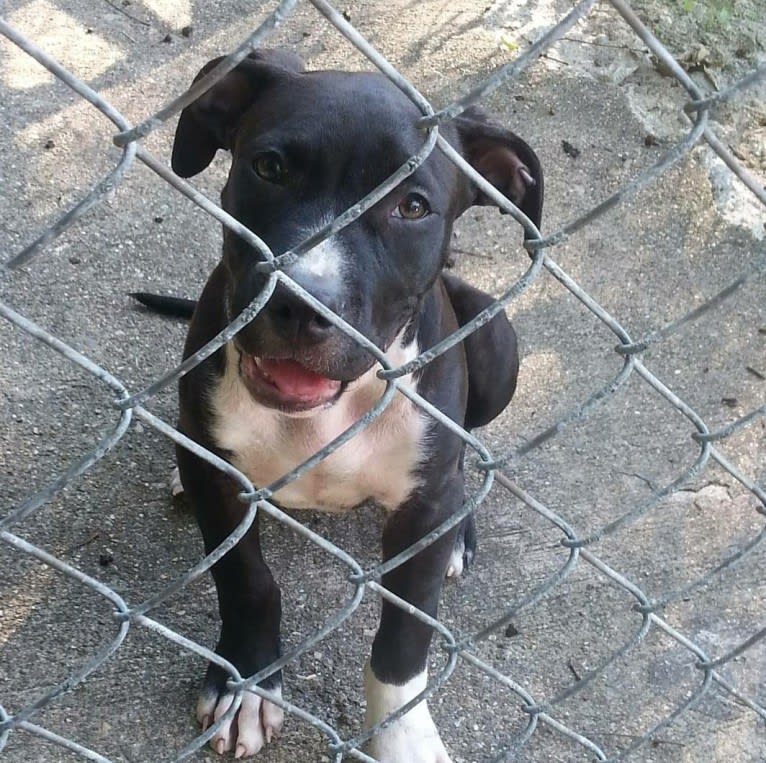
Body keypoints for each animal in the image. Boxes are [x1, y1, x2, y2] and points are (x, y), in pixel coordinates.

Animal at [135, 50, 544, 760]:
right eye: (269, 167)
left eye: (413, 206)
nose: (303, 303)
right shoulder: (222, 480)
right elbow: (246, 581)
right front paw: (247, 683)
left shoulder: (421, 513)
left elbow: (404, 641)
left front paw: (402, 736)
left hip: (495, 339)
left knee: (468, 454)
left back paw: (461, 524)